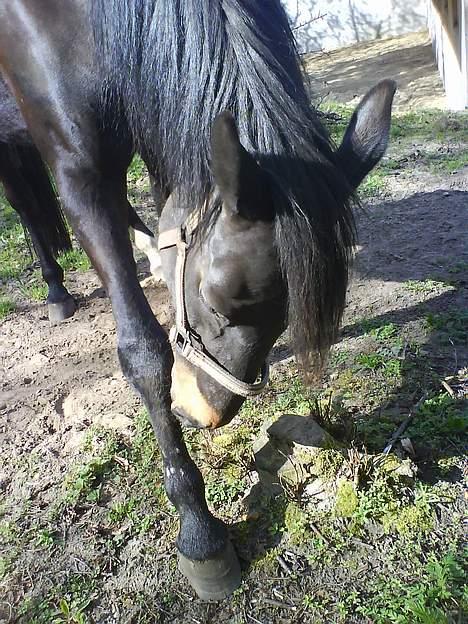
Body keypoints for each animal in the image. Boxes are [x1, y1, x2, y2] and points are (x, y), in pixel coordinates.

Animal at [0, 0, 394, 596]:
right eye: (215, 301)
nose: (199, 414)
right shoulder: (77, 170)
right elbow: (143, 352)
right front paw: (199, 530)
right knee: (24, 202)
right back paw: (55, 288)